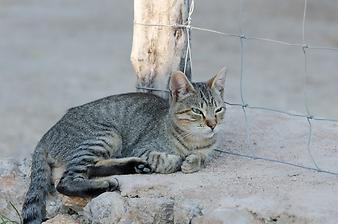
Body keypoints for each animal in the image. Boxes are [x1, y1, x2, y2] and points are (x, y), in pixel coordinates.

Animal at [21, 68, 227, 224]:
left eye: (218, 109)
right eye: (197, 111)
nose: (212, 124)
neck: (194, 141)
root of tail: (47, 134)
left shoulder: (206, 150)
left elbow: (202, 158)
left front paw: (193, 161)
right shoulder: (141, 148)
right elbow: (167, 160)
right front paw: (178, 160)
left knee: (92, 168)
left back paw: (134, 167)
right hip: (105, 135)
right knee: (66, 182)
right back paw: (107, 183)